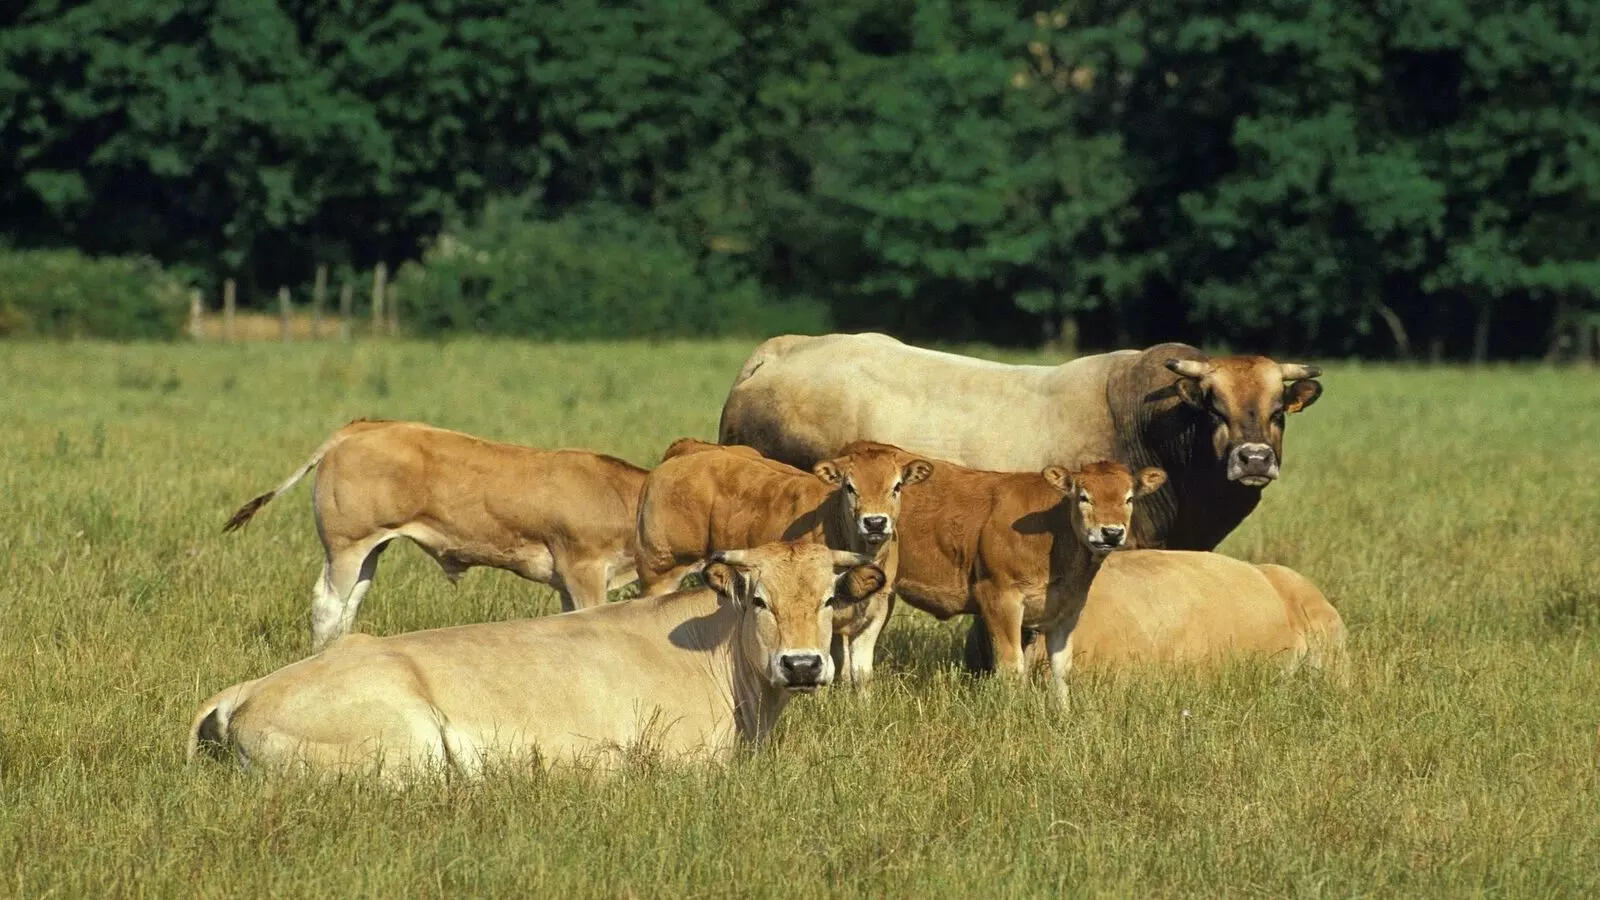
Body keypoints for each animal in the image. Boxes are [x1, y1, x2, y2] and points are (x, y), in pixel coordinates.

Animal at [222, 420, 647, 651]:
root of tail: (365, 426)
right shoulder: (584, 569)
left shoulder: (566, 581)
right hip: (346, 546)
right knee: (328, 605)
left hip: (370, 549)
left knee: (349, 604)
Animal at [634, 440, 931, 687]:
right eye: (849, 487)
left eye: (897, 487)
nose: (875, 522)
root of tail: (689, 450)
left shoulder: (877, 609)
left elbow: (860, 673)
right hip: (658, 574)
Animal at [879, 459, 1167, 700]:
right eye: (1084, 497)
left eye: (1129, 498)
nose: (1112, 533)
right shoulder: (999, 598)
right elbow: (1011, 665)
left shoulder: (1066, 611)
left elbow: (1059, 668)